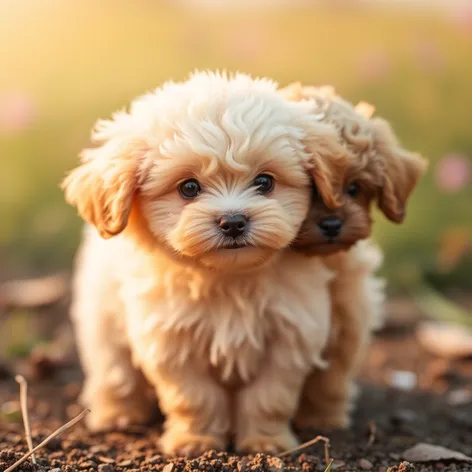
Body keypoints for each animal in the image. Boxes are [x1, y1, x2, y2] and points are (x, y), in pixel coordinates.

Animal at [61, 72, 350, 456]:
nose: (233, 221)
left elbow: (270, 397)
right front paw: (194, 441)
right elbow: (193, 397)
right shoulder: (171, 340)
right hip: (102, 314)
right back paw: (116, 413)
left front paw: (266, 442)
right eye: (188, 188)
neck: (227, 276)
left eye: (265, 182)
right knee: (113, 368)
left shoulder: (290, 335)